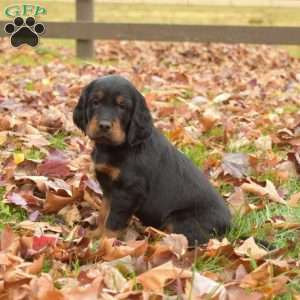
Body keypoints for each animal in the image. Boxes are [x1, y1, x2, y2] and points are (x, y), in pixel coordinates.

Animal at [72, 75, 230, 246]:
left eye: (122, 106)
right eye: (95, 102)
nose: (104, 126)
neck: (118, 147)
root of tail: (229, 224)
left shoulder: (128, 191)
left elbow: (114, 220)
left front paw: (105, 243)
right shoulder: (109, 189)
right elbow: (104, 213)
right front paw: (94, 236)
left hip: (181, 220)